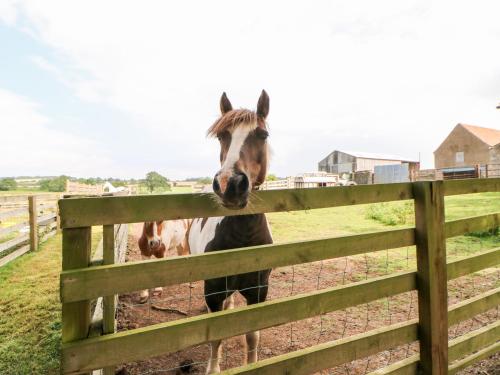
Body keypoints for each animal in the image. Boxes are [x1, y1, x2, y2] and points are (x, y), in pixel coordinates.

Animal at [188, 89, 274, 374]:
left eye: (263, 134)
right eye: (221, 136)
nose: (230, 184)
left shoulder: (258, 289)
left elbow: (252, 335)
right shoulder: (213, 290)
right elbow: (216, 335)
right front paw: (213, 369)